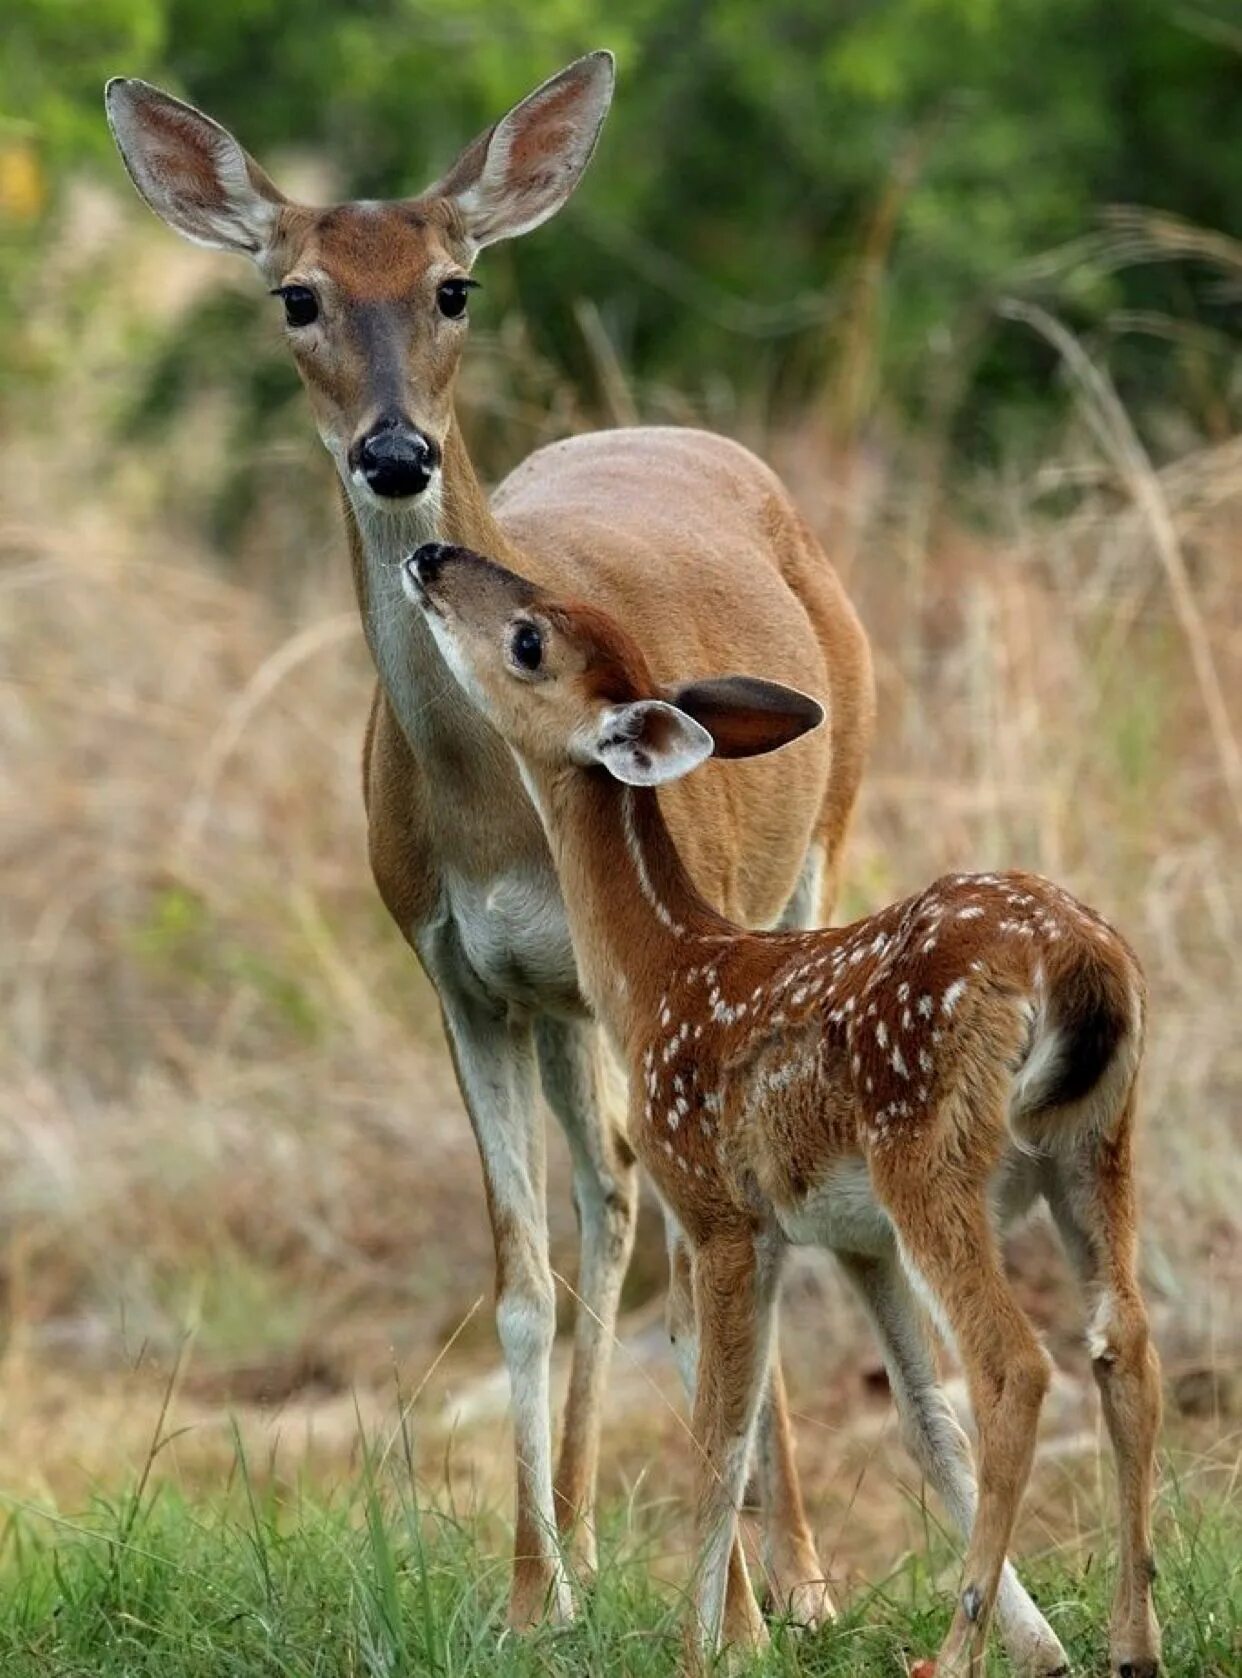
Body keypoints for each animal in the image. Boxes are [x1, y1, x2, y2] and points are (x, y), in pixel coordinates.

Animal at [104, 55, 886, 1637]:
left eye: (454, 285)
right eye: (295, 293)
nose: (397, 454)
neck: (486, 801)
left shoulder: (652, 959)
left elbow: (682, 1256)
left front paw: (727, 1613)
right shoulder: (457, 972)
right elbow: (522, 1274)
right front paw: (534, 1595)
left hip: (808, 859)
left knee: (687, 1202)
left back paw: (799, 1576)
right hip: (557, 1005)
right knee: (601, 1205)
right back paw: (587, 1541)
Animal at [402, 540, 1161, 1678]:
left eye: (531, 640)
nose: (432, 554)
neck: (662, 972)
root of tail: (1078, 961)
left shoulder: (717, 1205)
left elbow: (719, 1434)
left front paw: (698, 1643)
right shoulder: (846, 1235)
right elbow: (905, 1413)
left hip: (931, 1151)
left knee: (1015, 1366)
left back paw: (954, 1646)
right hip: (1098, 1146)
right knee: (1125, 1347)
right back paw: (1131, 1641)